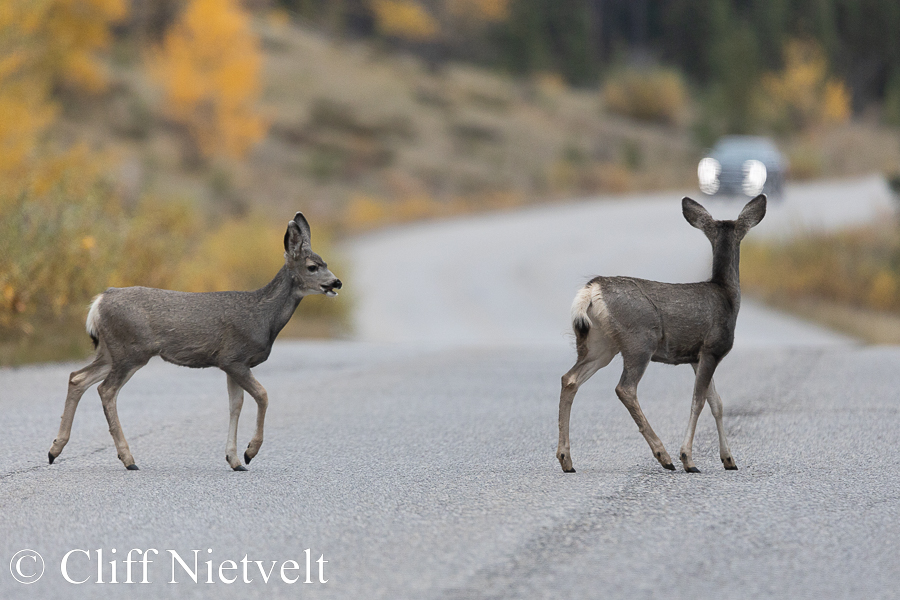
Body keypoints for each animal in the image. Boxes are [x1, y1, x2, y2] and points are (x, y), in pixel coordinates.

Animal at [46, 213, 342, 472]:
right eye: (312, 267)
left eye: (325, 263)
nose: (336, 282)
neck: (263, 317)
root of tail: (99, 301)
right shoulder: (233, 357)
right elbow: (262, 395)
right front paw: (250, 452)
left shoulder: (232, 365)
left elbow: (235, 405)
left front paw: (234, 460)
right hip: (131, 351)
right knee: (106, 390)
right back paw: (128, 459)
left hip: (111, 352)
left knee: (77, 378)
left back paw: (54, 450)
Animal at [560, 196, 764, 474]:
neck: (727, 297)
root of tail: (591, 290)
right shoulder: (712, 347)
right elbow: (699, 401)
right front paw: (688, 459)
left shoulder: (695, 357)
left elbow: (717, 402)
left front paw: (729, 460)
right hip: (639, 339)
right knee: (625, 388)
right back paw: (663, 455)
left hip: (598, 344)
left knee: (569, 379)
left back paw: (565, 459)